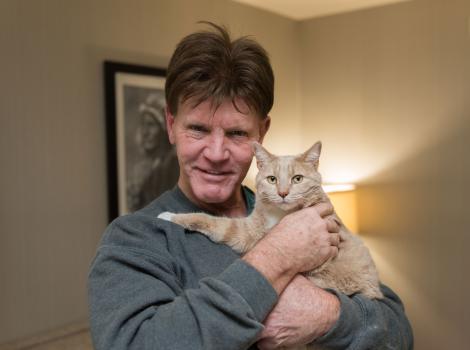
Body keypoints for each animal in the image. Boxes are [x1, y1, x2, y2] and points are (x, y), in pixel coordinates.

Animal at [157, 141, 382, 348]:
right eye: (272, 179)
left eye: (297, 179)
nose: (282, 193)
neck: (281, 215)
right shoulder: (250, 230)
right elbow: (214, 221)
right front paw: (170, 216)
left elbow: (213, 222)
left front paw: (169, 216)